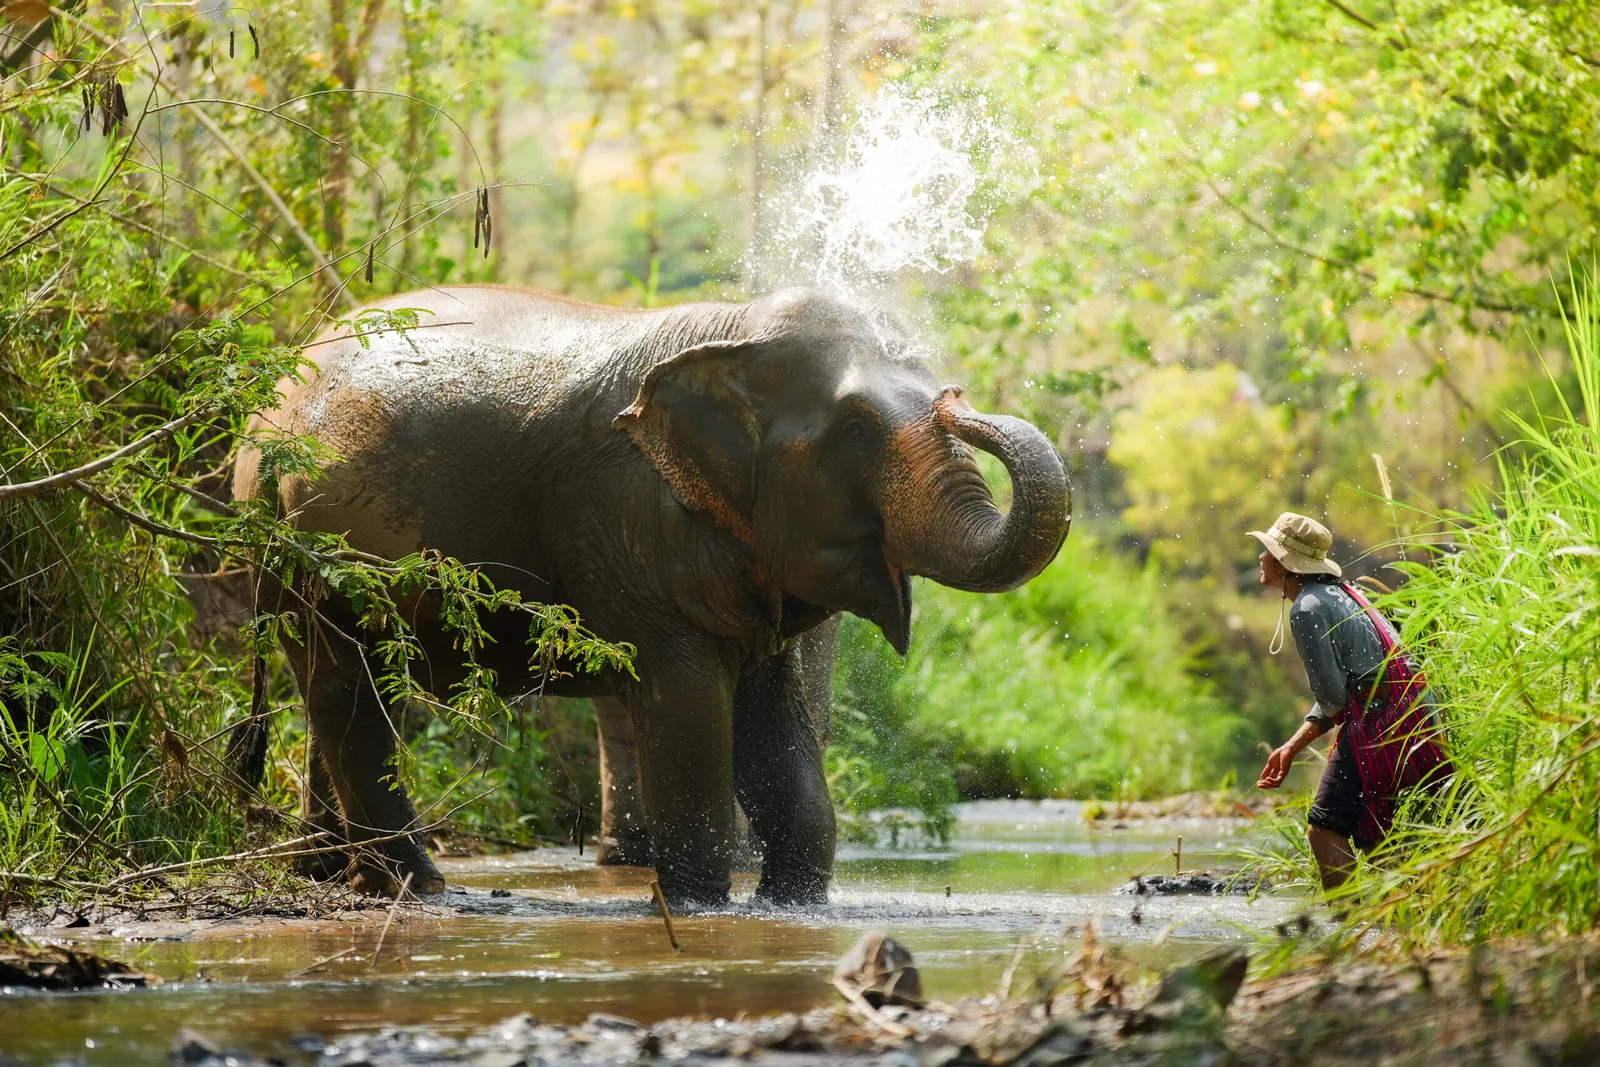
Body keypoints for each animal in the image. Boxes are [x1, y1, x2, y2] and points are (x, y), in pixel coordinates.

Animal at [232, 285, 1070, 907]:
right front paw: (702, 906)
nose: (957, 399)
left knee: (350, 686)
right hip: (302, 544)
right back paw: (422, 887)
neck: (732, 334)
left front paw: (791, 906)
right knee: (347, 686)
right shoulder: (626, 515)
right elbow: (688, 701)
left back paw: (329, 873)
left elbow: (775, 723)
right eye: (858, 429)